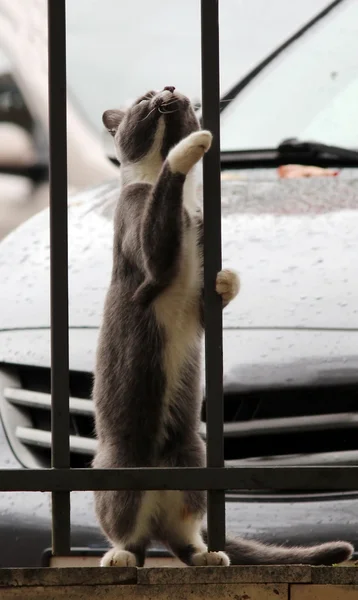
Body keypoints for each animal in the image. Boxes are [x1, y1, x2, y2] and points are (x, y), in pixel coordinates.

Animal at [91, 85, 352, 568]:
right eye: (143, 97)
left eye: (181, 96)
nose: (167, 89)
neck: (188, 208)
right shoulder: (137, 222)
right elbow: (156, 251)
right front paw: (190, 147)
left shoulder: (199, 236)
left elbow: (207, 300)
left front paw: (227, 280)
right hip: (120, 464)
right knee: (125, 527)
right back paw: (119, 555)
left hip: (191, 458)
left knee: (182, 532)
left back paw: (206, 555)